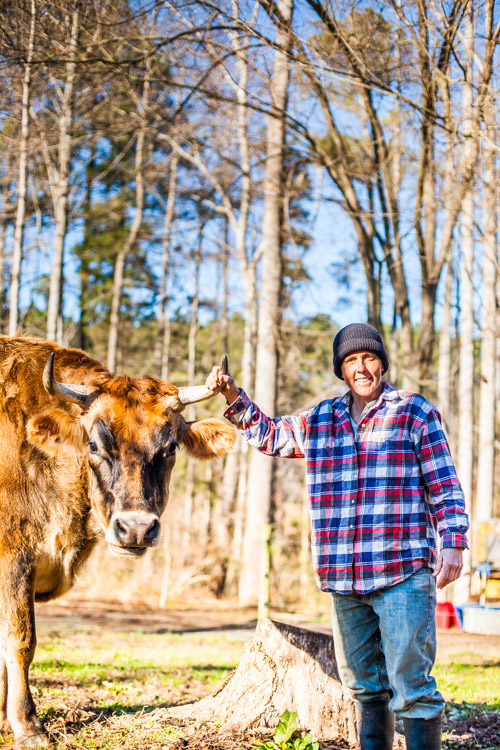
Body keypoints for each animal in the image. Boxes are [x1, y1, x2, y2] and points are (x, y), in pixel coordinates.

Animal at [0, 338, 236, 748]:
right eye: (94, 444)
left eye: (170, 448)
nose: (136, 528)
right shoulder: (13, 555)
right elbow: (20, 639)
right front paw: (27, 725)